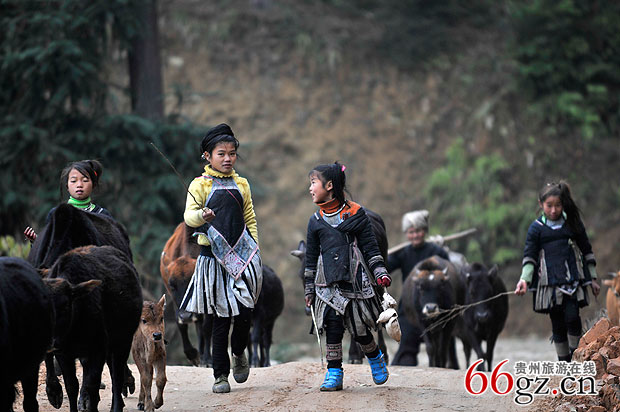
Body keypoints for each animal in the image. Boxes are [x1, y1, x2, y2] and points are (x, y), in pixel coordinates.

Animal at [43, 245, 142, 412]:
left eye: (65, 306)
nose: (50, 342)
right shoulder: (63, 354)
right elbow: (72, 386)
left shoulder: (98, 350)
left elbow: (92, 385)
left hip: (123, 342)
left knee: (116, 376)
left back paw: (116, 406)